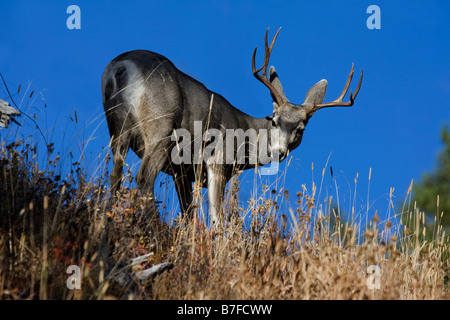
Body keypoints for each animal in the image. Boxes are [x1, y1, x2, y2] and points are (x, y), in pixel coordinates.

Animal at [102, 28, 362, 225]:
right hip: (161, 127)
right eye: (274, 119)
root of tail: (121, 67)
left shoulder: (181, 172)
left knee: (116, 173)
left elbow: (188, 214)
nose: (279, 151)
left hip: (116, 126)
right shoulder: (217, 162)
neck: (244, 132)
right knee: (144, 177)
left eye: (301, 129)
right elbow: (218, 218)